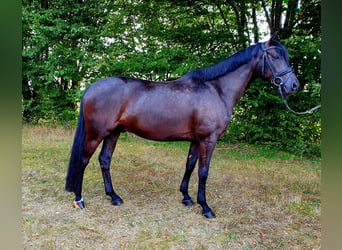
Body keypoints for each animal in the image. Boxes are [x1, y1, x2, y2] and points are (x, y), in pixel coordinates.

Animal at [65, 32, 298, 218]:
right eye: (275, 56)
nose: (294, 85)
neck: (216, 90)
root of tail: (91, 87)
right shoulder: (208, 140)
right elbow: (203, 172)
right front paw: (206, 207)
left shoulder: (196, 140)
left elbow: (190, 166)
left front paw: (186, 197)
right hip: (96, 133)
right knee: (84, 160)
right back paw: (79, 199)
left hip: (113, 133)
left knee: (104, 161)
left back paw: (114, 196)